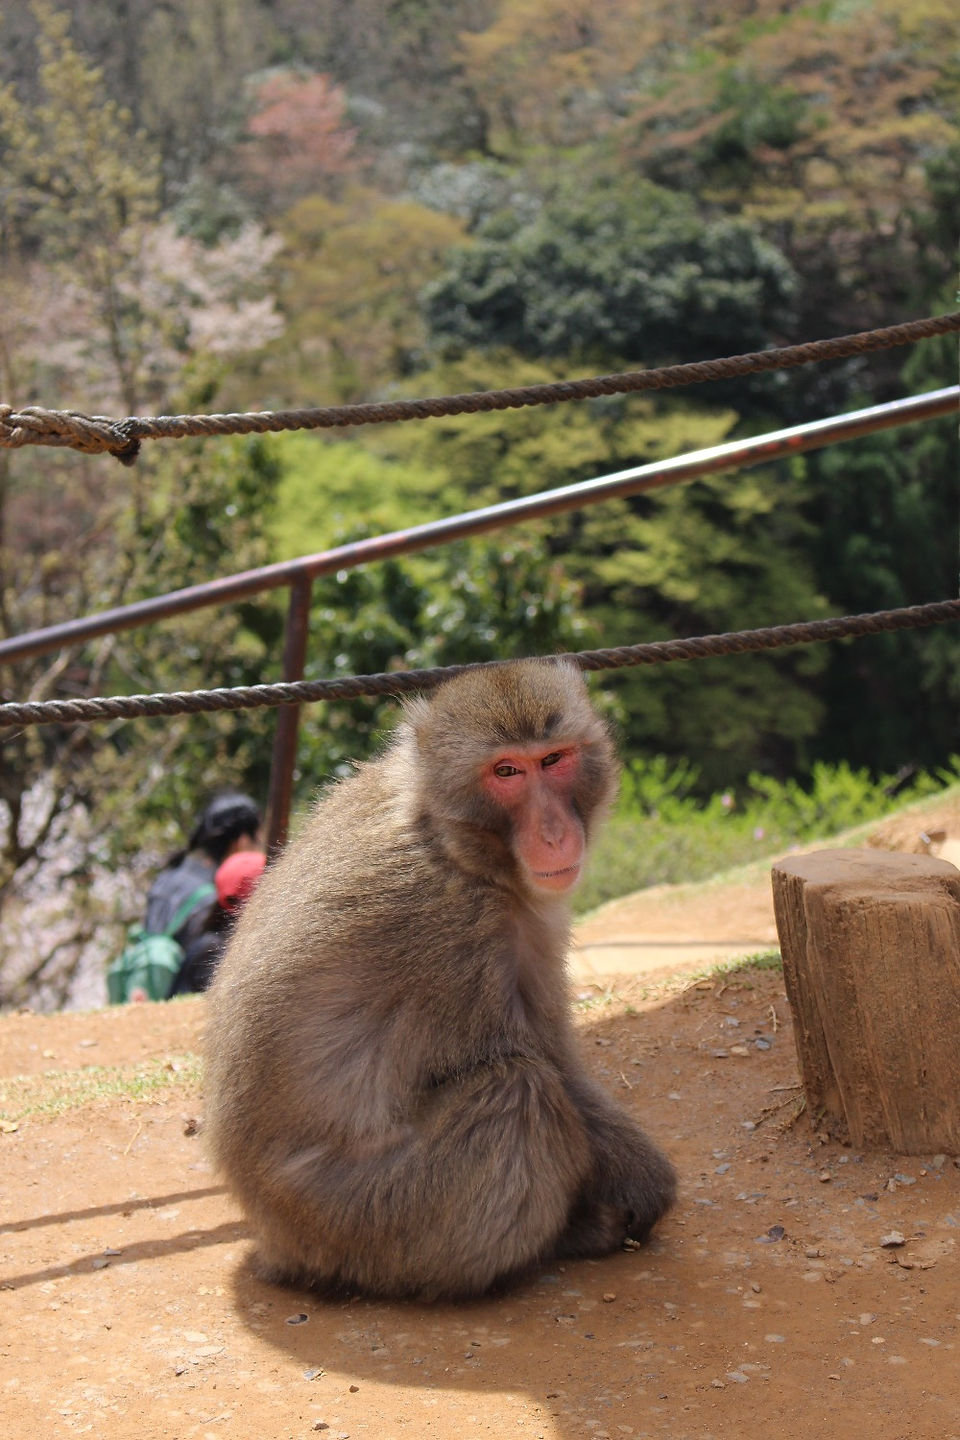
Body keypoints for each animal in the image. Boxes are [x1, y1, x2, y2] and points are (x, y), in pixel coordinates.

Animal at [203, 659, 676, 1300]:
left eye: (553, 759)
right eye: (506, 771)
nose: (555, 833)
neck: (447, 836)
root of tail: (271, 1237)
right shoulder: (457, 931)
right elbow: (539, 1059)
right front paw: (641, 1187)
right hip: (367, 1219)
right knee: (519, 1095)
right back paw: (556, 1243)